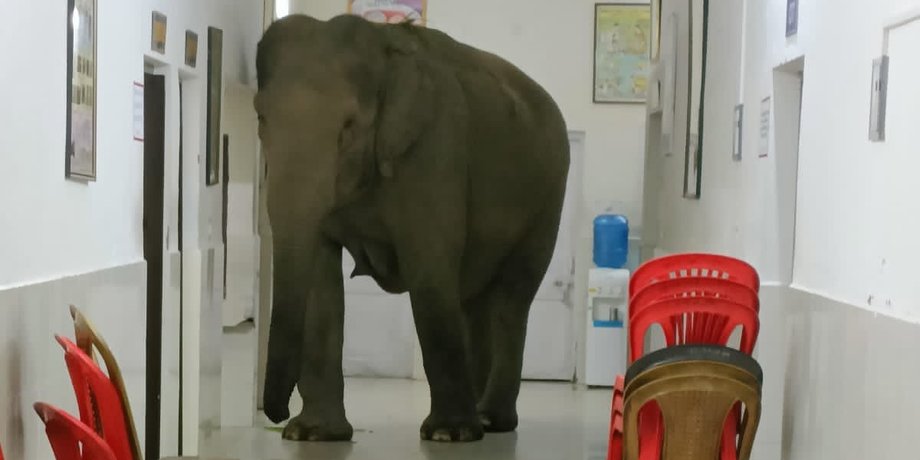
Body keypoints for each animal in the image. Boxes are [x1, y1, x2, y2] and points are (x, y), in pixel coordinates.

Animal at [256, 13, 570, 443]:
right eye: (260, 118)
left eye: (348, 127)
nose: (276, 414)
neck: (381, 46)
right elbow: (321, 277)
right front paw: (313, 434)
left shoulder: (435, 148)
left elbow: (429, 264)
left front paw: (449, 435)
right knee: (473, 299)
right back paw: (481, 416)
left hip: (547, 199)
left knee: (511, 298)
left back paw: (490, 421)